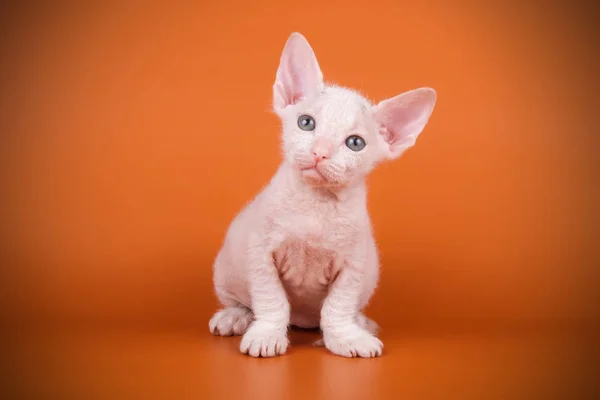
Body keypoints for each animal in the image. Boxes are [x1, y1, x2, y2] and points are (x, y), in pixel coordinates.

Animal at [209, 32, 434, 358]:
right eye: (306, 123)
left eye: (355, 143)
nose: (320, 152)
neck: (316, 205)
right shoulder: (260, 254)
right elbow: (271, 301)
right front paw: (266, 334)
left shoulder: (354, 265)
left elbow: (337, 308)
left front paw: (345, 337)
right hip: (225, 268)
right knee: (241, 300)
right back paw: (235, 316)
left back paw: (360, 323)